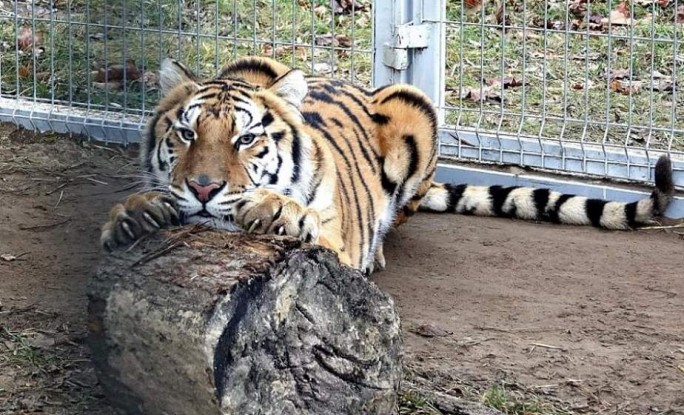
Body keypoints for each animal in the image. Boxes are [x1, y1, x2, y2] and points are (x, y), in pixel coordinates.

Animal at [99, 56, 676, 276]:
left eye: (246, 138)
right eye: (187, 133)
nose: (202, 188)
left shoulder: (338, 245)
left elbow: (309, 225)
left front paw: (275, 211)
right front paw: (136, 213)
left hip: (417, 108)